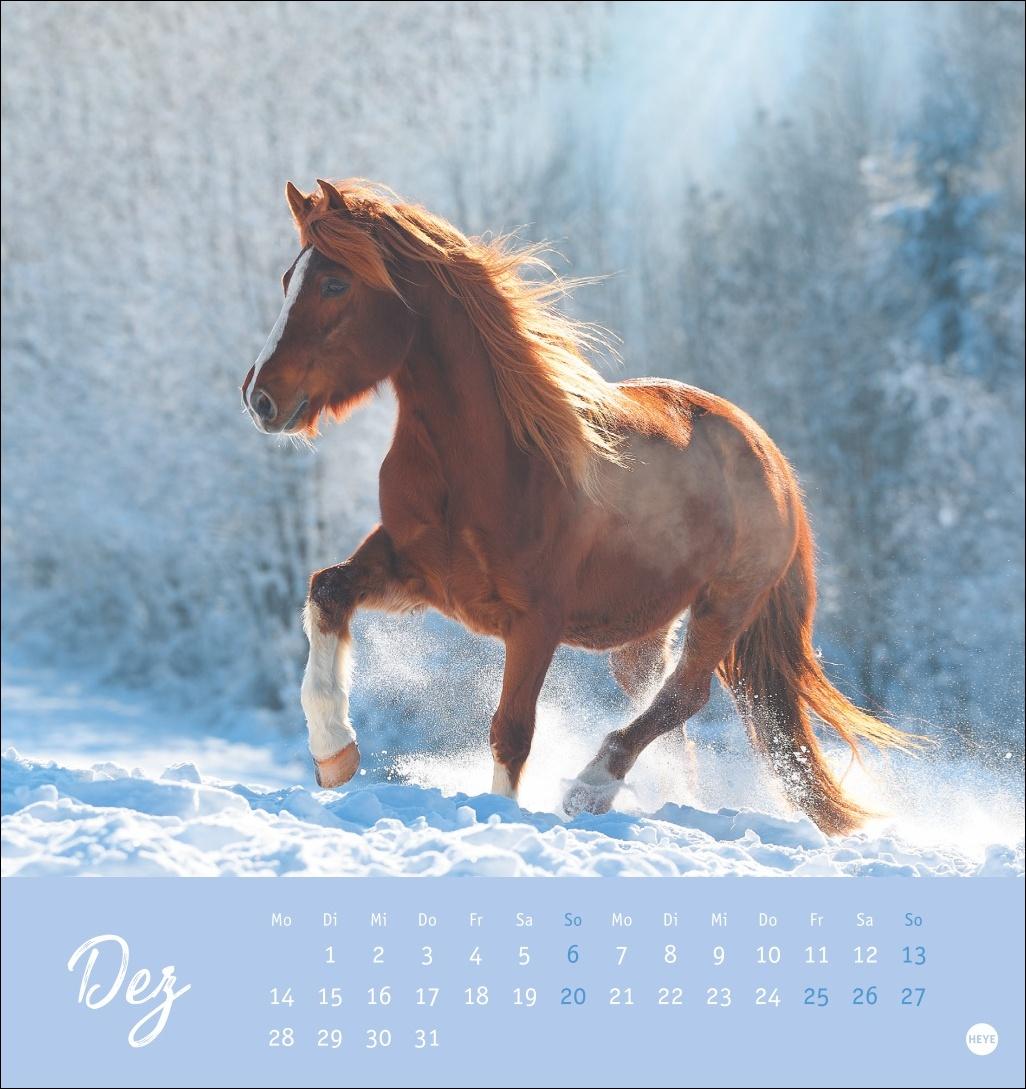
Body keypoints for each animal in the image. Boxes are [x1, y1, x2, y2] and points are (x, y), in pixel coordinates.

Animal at [241, 178, 912, 835]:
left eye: (335, 283)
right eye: (287, 279)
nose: (260, 398)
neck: (482, 463)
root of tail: (772, 458)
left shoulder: (537, 618)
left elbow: (512, 729)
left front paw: (501, 814)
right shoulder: (416, 573)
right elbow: (327, 589)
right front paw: (334, 753)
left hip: (726, 605)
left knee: (684, 696)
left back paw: (591, 788)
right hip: (644, 631)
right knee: (666, 710)